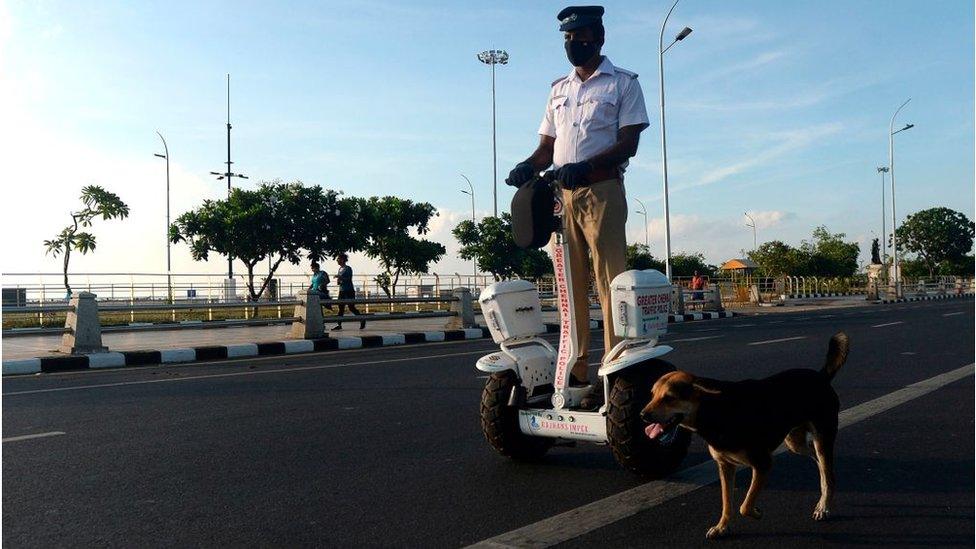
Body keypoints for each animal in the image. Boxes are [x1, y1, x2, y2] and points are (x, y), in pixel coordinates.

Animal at [640, 332, 848, 536]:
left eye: (669, 398)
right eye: (652, 394)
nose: (642, 415)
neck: (716, 410)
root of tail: (821, 376)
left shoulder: (763, 464)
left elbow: (744, 505)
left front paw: (756, 512)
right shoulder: (725, 466)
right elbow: (727, 502)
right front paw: (722, 526)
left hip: (822, 437)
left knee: (828, 472)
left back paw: (824, 506)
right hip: (794, 442)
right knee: (818, 461)